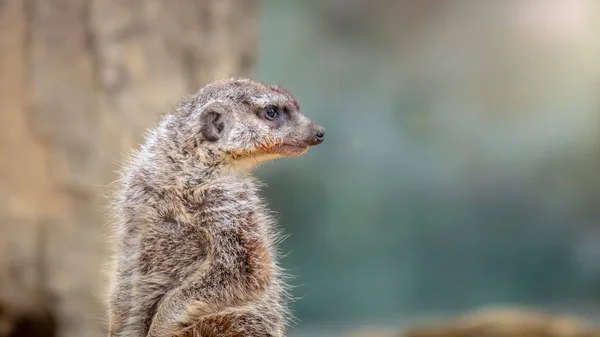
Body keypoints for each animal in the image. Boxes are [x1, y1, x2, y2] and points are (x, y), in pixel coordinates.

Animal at [106, 77, 324, 334]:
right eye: (272, 112)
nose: (319, 132)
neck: (185, 168)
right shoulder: (136, 193)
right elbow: (127, 259)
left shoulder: (229, 203)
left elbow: (243, 270)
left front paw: (160, 326)